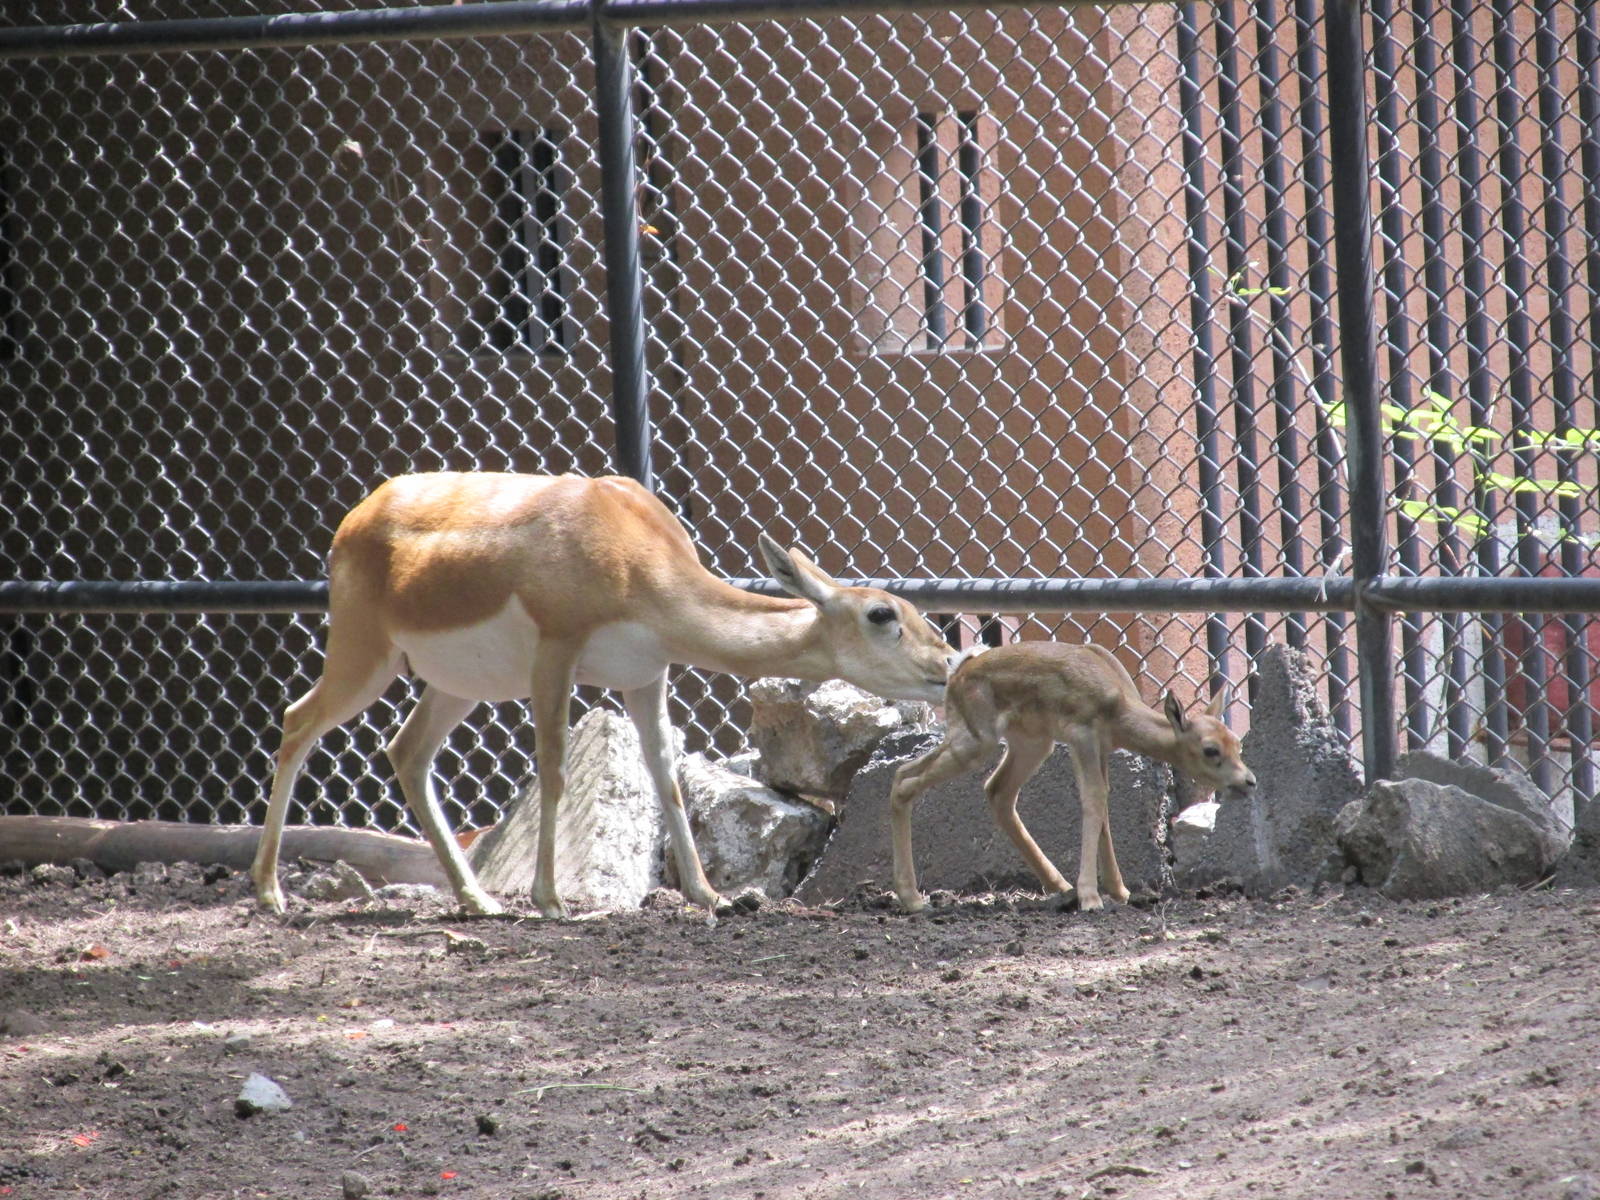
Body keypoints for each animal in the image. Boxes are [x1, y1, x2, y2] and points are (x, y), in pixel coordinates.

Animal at [250, 471, 959, 918]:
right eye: (882, 614)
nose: (948, 664)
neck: (630, 547)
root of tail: (358, 515)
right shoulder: (558, 653)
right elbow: (556, 769)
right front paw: (551, 900)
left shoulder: (646, 673)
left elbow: (667, 776)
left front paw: (711, 896)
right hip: (364, 654)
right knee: (297, 721)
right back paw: (270, 893)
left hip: (456, 685)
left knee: (407, 752)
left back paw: (477, 901)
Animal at [887, 641, 1256, 913]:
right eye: (1210, 749)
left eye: (1236, 742)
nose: (1249, 781)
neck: (1117, 703)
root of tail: (958, 672)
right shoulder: (1082, 736)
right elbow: (1093, 802)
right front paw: (1092, 897)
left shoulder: (1102, 748)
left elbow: (1104, 805)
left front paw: (1119, 891)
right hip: (977, 743)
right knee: (906, 780)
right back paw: (914, 900)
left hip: (1031, 743)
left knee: (991, 790)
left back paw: (1060, 887)